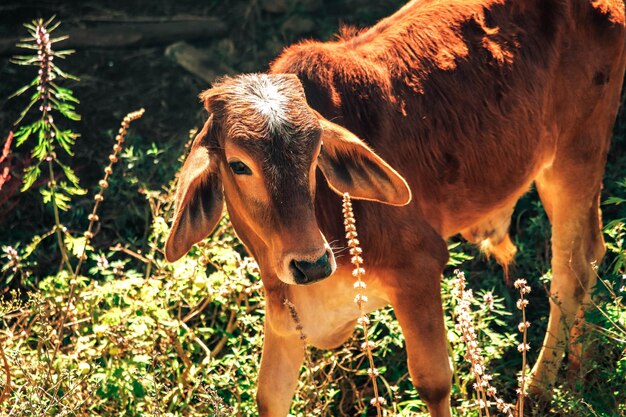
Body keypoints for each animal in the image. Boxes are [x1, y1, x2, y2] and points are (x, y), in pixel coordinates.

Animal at [162, 1, 624, 414]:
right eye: (239, 165)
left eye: (316, 154)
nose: (311, 264)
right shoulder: (286, 315)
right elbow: (269, 397)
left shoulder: (418, 271)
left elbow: (433, 382)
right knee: (593, 251)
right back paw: (577, 370)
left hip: (576, 153)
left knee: (572, 268)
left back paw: (538, 390)